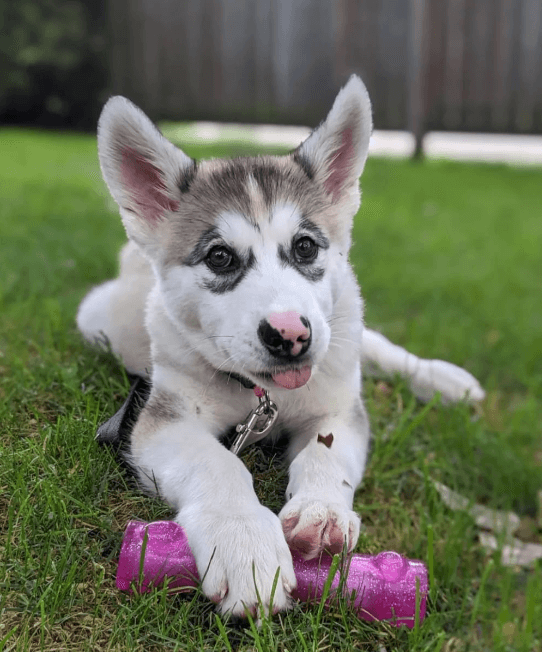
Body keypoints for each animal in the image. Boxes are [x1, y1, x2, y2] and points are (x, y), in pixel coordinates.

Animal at [77, 76, 488, 616]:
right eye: (220, 257)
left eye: (305, 247)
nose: (291, 336)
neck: (264, 395)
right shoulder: (161, 422)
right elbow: (219, 463)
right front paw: (245, 545)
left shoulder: (338, 408)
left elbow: (325, 452)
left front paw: (322, 510)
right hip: (101, 319)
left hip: (342, 327)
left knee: (374, 345)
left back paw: (444, 379)